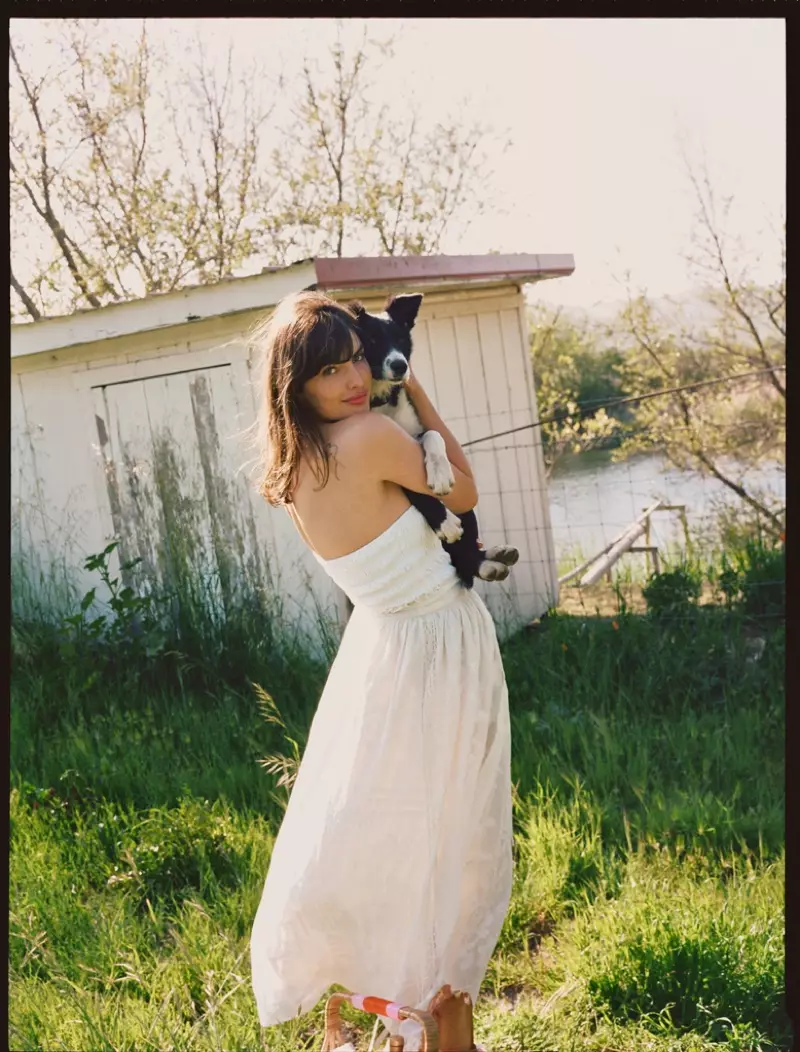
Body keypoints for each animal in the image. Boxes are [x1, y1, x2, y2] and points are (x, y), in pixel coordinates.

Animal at [349, 296, 517, 589]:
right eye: (371, 340)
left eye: (401, 338)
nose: (400, 366)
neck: (382, 400)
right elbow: (414, 491)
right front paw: (445, 523)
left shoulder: (418, 428)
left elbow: (433, 435)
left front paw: (439, 473)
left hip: (468, 510)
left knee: (467, 553)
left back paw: (491, 559)